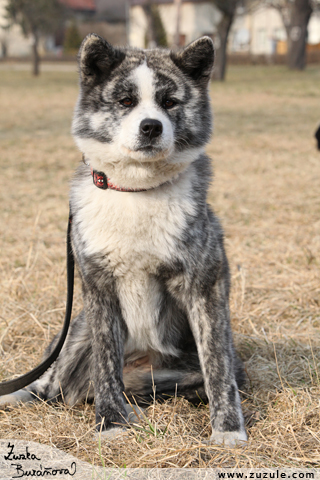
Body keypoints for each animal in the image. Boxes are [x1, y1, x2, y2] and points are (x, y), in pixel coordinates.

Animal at [0, 33, 248, 446]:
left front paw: (228, 429)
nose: (151, 127)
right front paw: (111, 421)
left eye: (169, 102)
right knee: (51, 387)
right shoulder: (98, 291)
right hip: (76, 332)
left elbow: (218, 367)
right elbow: (106, 365)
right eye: (126, 101)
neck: (136, 191)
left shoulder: (205, 288)